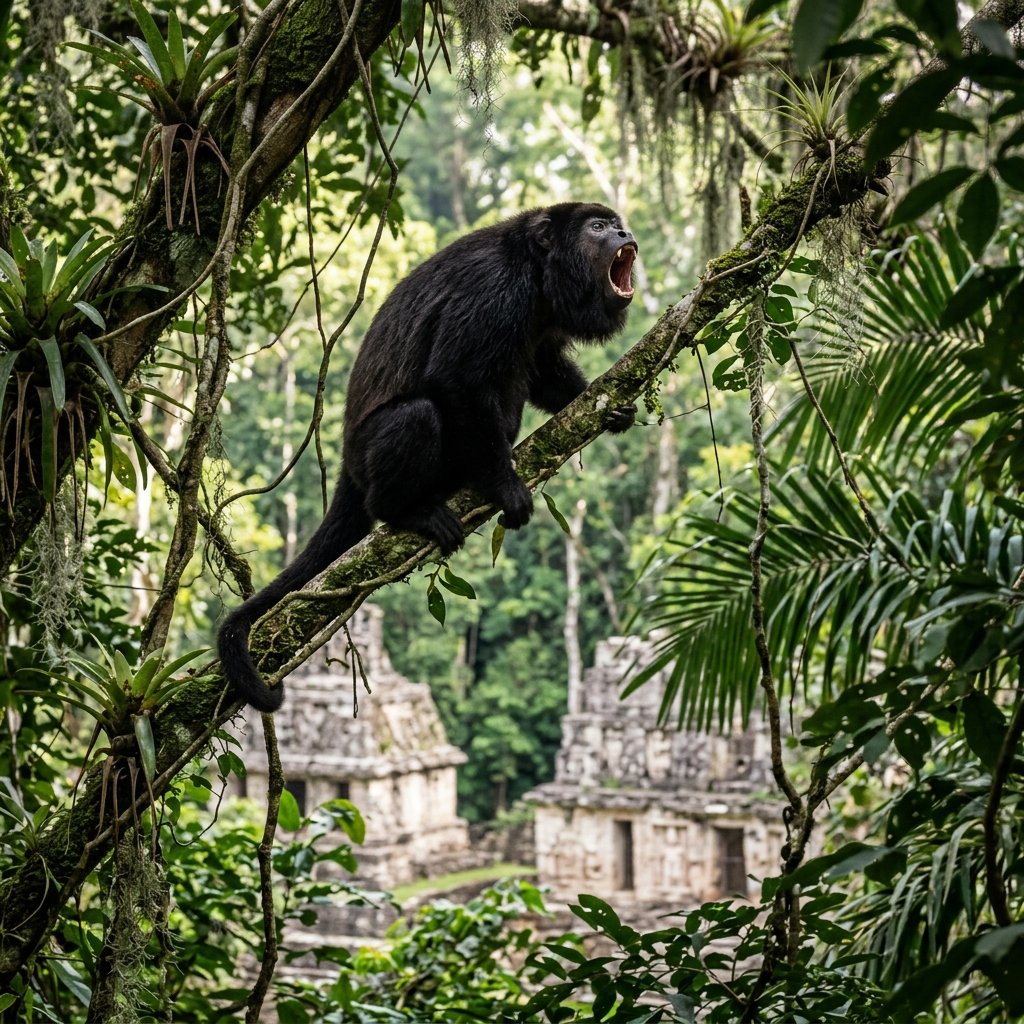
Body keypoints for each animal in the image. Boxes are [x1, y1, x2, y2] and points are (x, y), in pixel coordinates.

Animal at [218, 202, 639, 712]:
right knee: (418, 414)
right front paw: (505, 486)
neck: (539, 273)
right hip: (373, 458)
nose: (624, 234)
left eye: (616, 224)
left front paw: (609, 407)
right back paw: (407, 509)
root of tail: (346, 464)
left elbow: (541, 368)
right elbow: (455, 378)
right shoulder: (495, 290)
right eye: (597, 227)